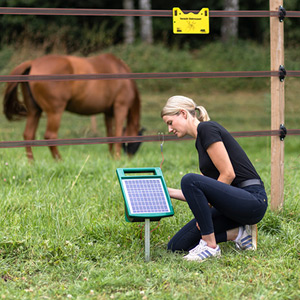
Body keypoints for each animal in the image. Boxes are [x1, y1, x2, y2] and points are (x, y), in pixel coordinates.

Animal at [3, 54, 142, 162]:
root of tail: (33, 63)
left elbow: (110, 135)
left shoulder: (107, 113)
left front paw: (112, 156)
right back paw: (60, 161)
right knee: (50, 136)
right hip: (55, 112)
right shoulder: (120, 108)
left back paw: (32, 163)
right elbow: (117, 134)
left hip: (34, 111)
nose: (130, 157)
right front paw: (117, 158)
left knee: (28, 135)